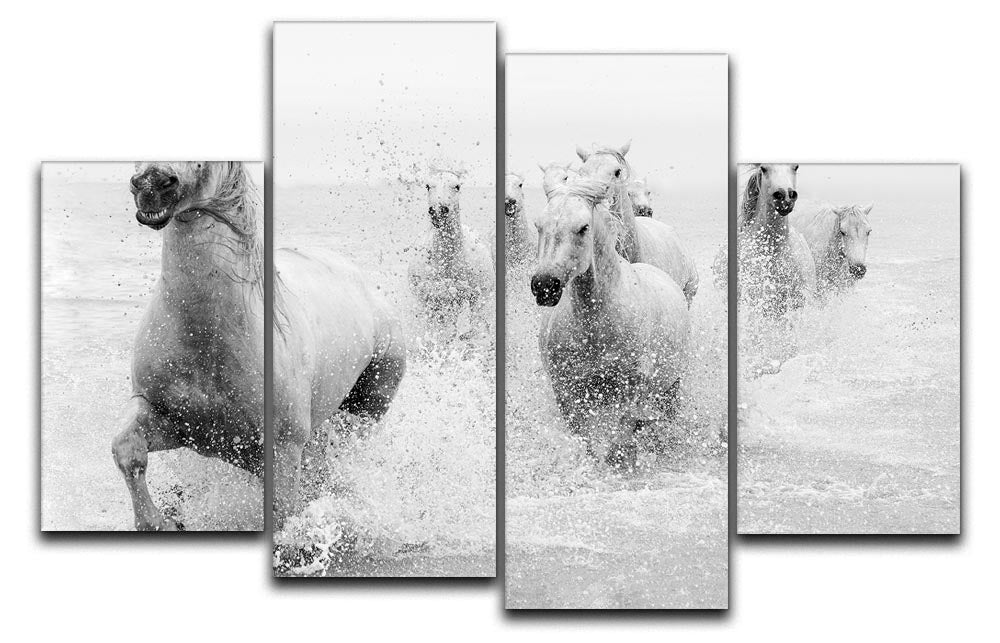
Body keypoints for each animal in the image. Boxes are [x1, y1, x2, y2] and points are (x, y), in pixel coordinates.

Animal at [530, 178, 691, 471]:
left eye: (583, 227)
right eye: (539, 225)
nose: (545, 285)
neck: (595, 328)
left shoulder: (632, 386)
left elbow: (623, 432)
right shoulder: (566, 390)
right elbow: (585, 438)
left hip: (671, 385)